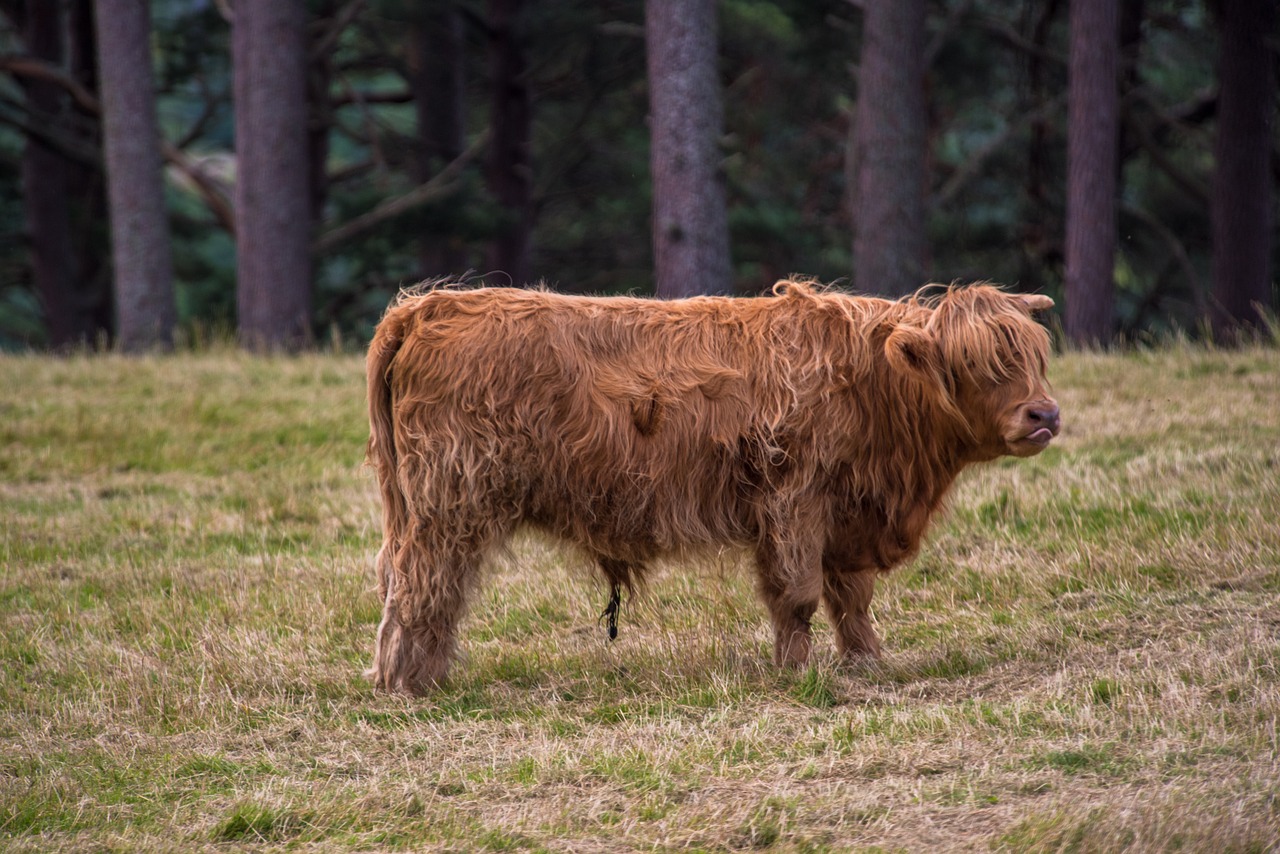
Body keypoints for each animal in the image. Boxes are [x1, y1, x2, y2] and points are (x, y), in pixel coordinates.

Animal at [363, 280, 1059, 696]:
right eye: (973, 364)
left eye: (1036, 357)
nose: (1044, 414)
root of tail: (427, 306)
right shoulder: (794, 503)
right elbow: (799, 596)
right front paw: (794, 674)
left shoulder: (846, 516)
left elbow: (852, 601)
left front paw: (867, 663)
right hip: (446, 502)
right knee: (424, 586)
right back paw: (408, 686)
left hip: (413, 505)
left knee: (405, 579)